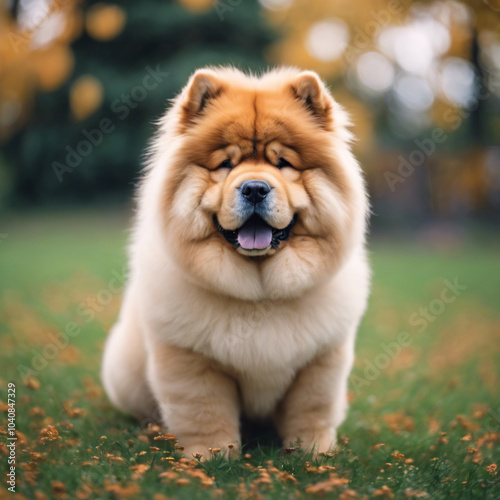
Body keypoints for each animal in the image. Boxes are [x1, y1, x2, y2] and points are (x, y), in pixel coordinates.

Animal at [101, 67, 370, 460]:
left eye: (283, 163)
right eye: (226, 164)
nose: (255, 188)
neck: (259, 293)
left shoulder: (320, 360)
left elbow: (312, 410)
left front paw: (313, 453)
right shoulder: (191, 360)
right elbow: (205, 412)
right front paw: (210, 456)